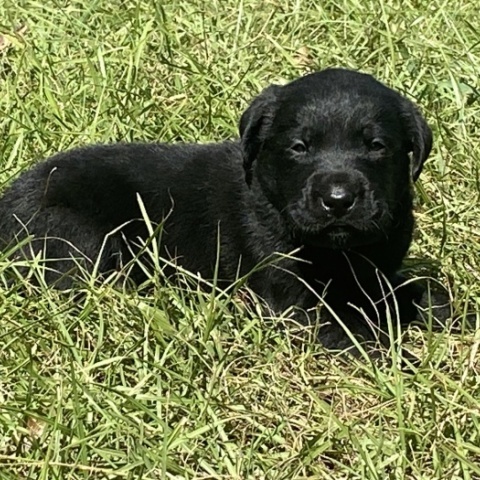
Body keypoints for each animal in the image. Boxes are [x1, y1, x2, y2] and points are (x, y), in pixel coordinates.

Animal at [0, 67, 436, 350]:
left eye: (376, 146)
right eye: (299, 147)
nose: (338, 200)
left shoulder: (379, 268)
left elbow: (415, 289)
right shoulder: (290, 297)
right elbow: (352, 329)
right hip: (77, 234)